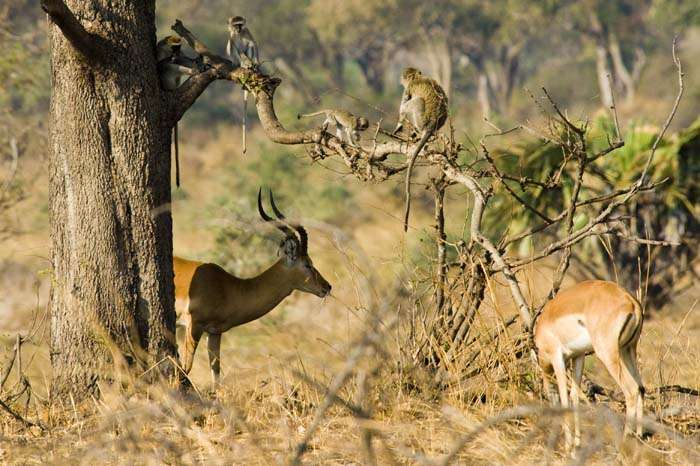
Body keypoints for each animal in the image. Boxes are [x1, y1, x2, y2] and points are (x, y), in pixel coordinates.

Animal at [394, 69, 448, 233]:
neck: (418, 77)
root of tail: (430, 126)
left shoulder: (408, 89)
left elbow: (403, 107)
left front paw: (398, 125)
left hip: (420, 119)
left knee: (413, 103)